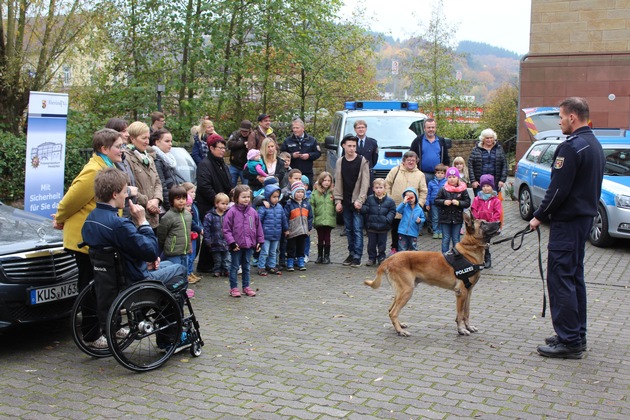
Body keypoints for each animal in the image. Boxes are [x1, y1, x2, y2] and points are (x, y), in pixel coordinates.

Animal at [366, 215, 504, 336]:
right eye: (483, 223)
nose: (498, 222)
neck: (469, 250)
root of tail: (388, 259)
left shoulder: (469, 292)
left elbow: (467, 313)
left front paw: (468, 327)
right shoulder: (461, 292)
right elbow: (460, 314)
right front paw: (461, 330)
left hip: (401, 291)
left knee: (390, 310)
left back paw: (399, 326)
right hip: (407, 291)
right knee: (393, 312)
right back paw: (400, 331)